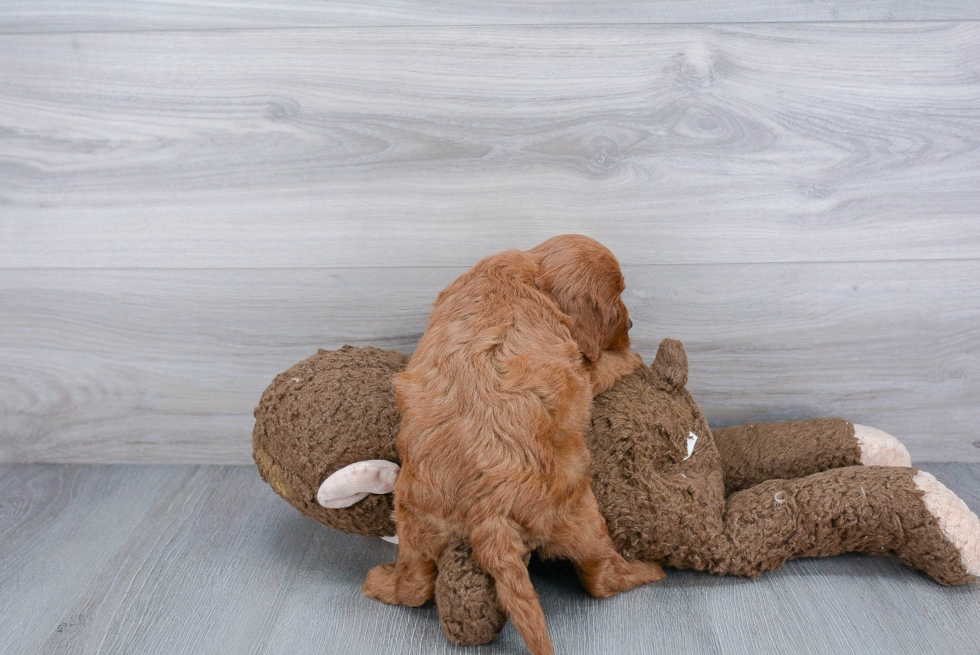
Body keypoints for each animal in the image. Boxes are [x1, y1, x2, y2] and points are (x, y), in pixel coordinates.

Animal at [362, 233, 668, 652]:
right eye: (615, 300)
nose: (633, 323)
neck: (531, 273)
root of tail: (487, 513)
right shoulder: (581, 364)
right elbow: (603, 365)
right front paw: (630, 357)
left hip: (413, 516)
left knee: (413, 585)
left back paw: (381, 583)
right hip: (582, 513)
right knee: (601, 578)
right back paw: (647, 570)